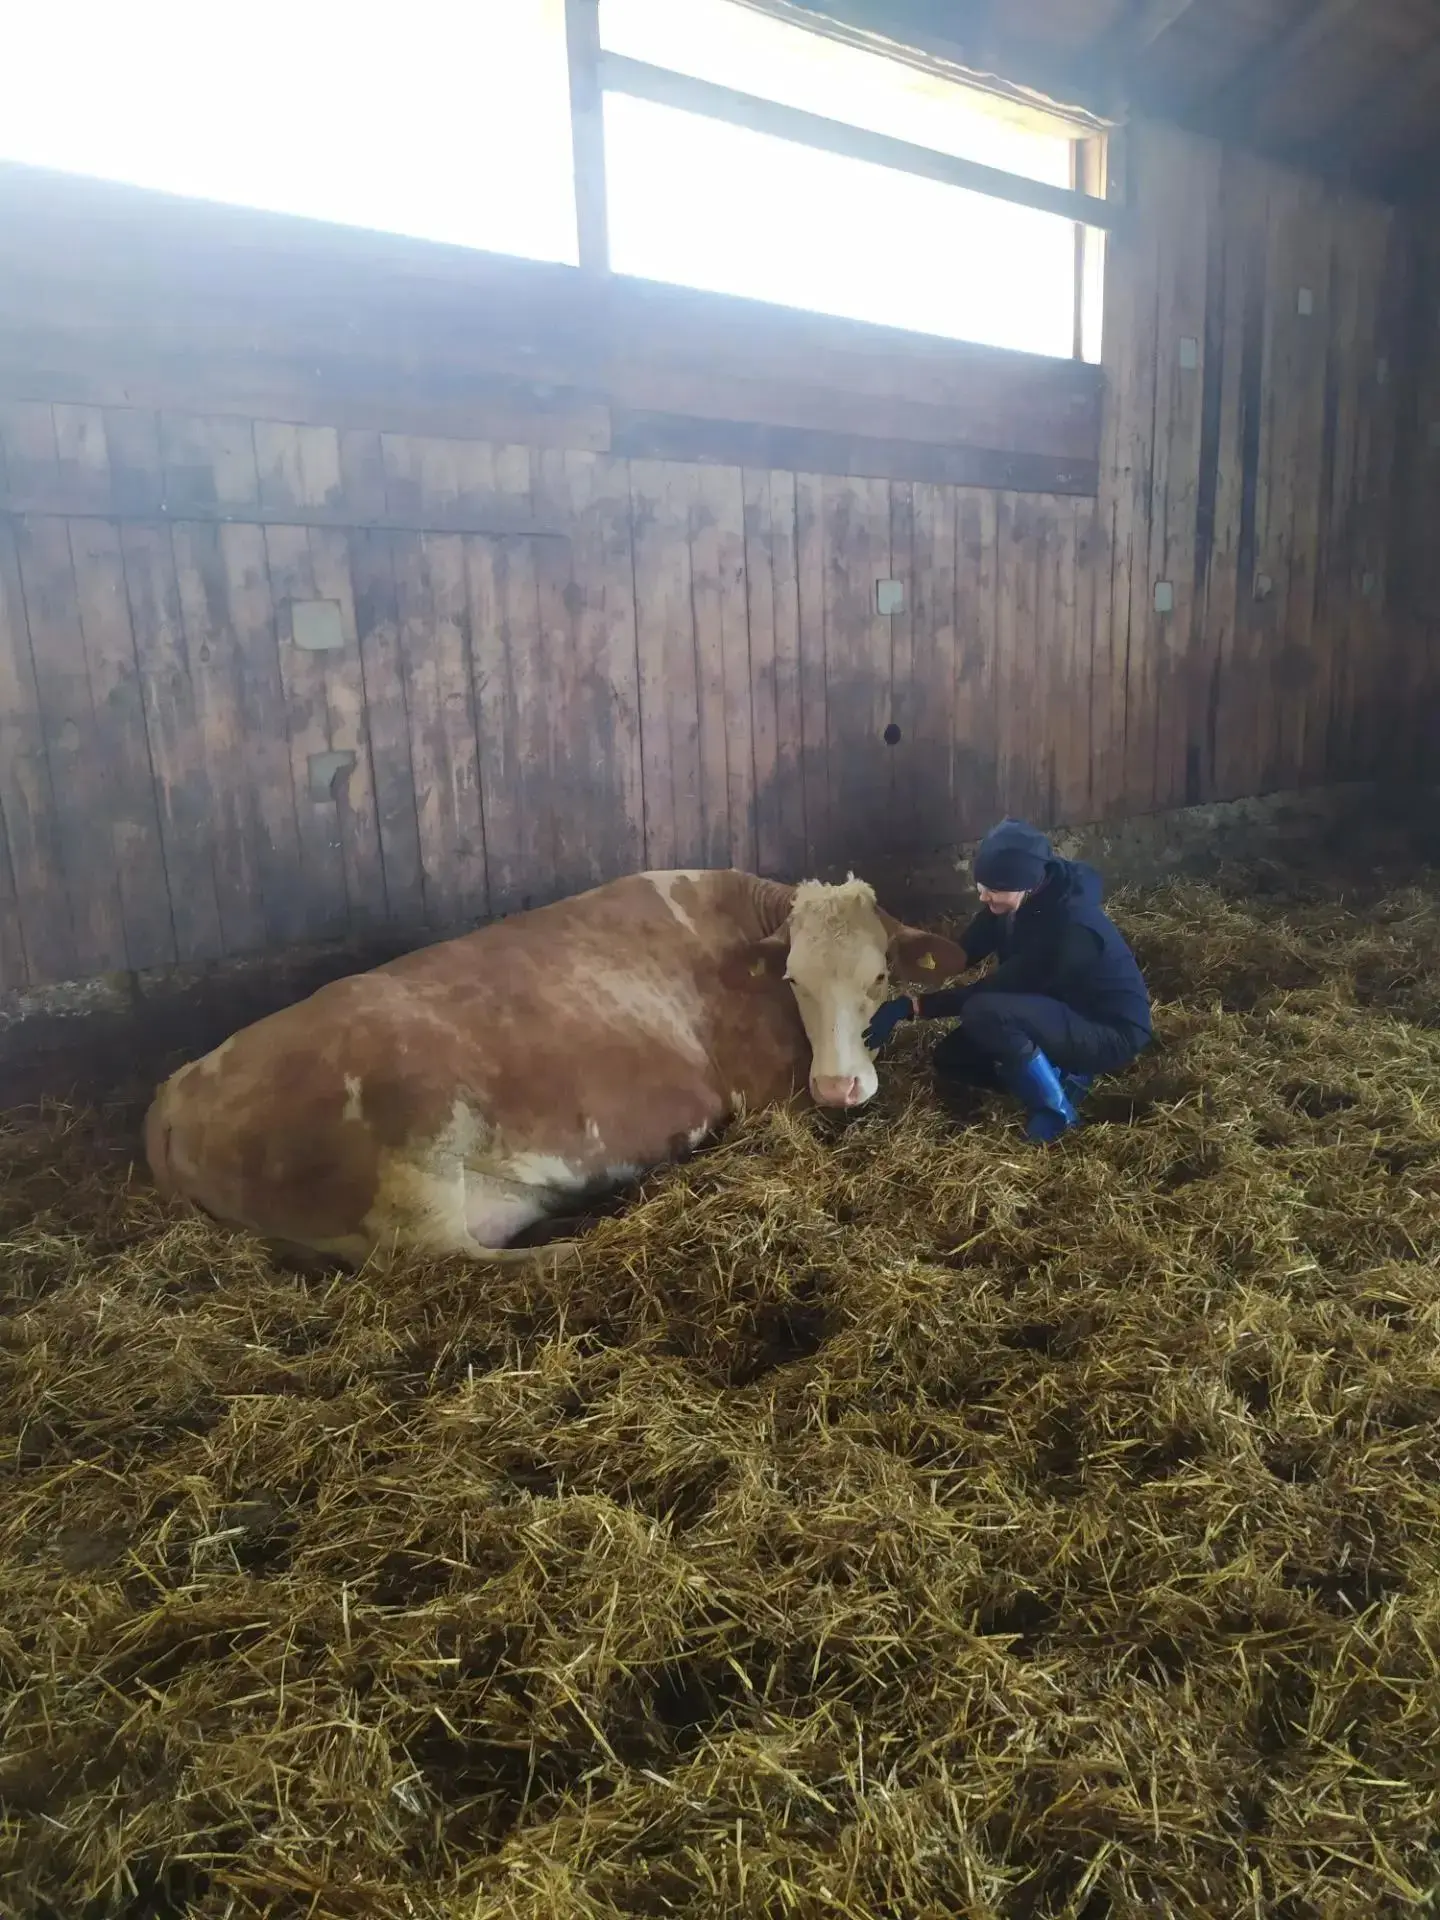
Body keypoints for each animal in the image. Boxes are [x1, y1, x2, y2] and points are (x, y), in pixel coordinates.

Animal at [143, 869, 969, 1269]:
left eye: (879, 977)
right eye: (794, 979)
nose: (837, 1085)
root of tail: (175, 1090)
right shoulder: (766, 1095)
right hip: (412, 1167)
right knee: (440, 1262)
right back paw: (568, 1252)